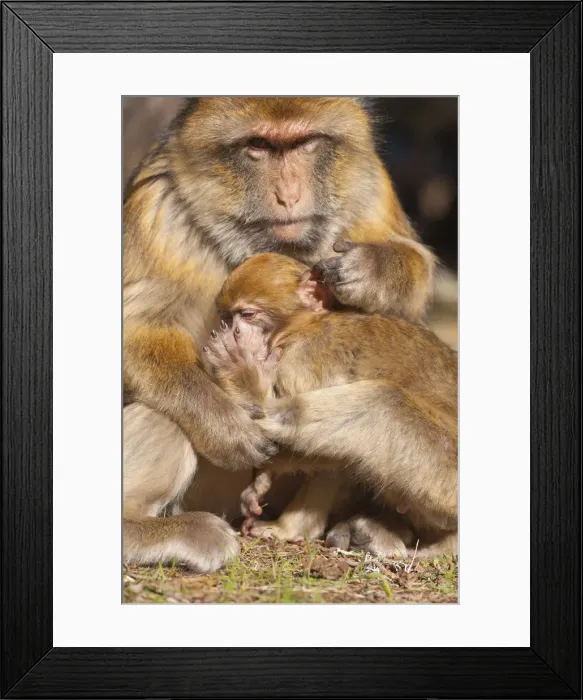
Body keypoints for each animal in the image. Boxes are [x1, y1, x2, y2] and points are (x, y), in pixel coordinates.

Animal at [204, 252, 457, 556]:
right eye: (226, 317)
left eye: (247, 315)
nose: (233, 332)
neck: (302, 328)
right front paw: (260, 481)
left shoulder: (302, 361)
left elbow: (332, 457)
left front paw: (267, 469)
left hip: (443, 474)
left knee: (381, 402)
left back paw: (250, 393)